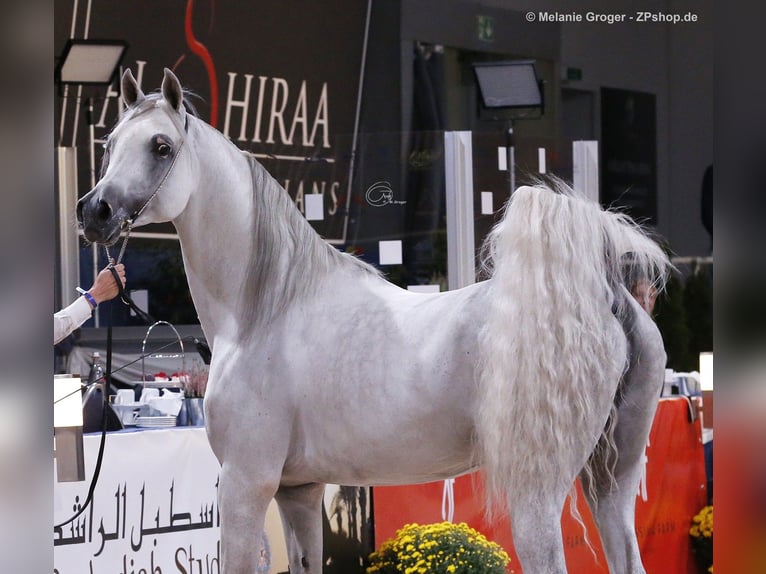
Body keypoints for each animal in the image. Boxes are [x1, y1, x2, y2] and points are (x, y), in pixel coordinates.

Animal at [77, 68, 670, 574]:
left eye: (161, 146)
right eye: (108, 145)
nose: (93, 212)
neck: (264, 310)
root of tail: (605, 296)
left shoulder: (246, 486)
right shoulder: (298, 491)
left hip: (538, 493)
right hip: (611, 484)